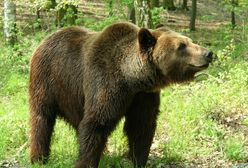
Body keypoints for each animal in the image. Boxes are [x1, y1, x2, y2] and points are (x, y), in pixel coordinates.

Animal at [28, 21, 211, 167]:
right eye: (181, 46)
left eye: (189, 41)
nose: (208, 53)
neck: (131, 79)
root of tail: (45, 39)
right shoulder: (104, 84)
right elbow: (96, 124)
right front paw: (86, 162)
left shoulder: (143, 96)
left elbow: (141, 126)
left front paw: (138, 160)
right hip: (47, 81)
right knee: (41, 119)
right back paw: (39, 158)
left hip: (72, 96)